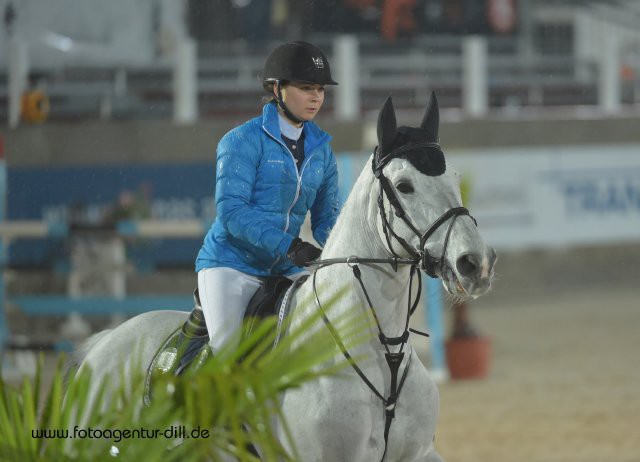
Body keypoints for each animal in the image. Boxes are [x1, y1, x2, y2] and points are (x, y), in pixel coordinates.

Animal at [74, 92, 496, 460]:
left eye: (455, 177)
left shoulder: (419, 454)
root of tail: (105, 343)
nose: (474, 263)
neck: (382, 352)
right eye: (405, 186)